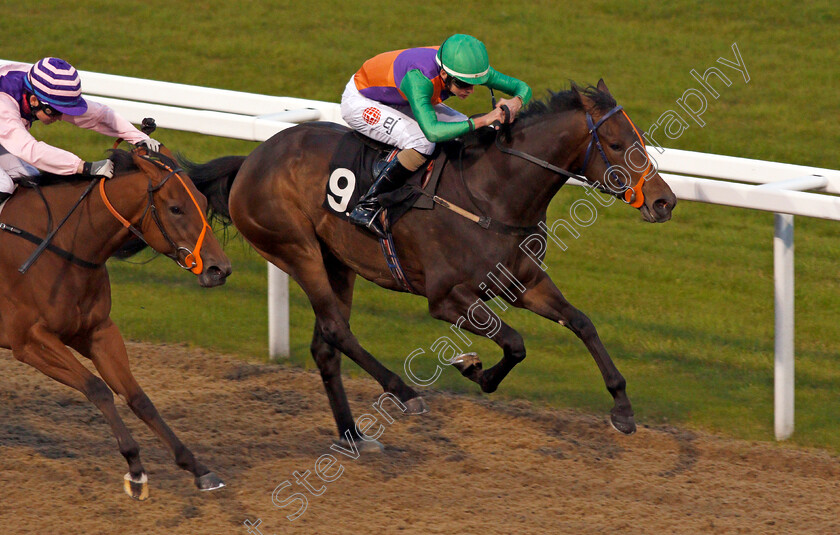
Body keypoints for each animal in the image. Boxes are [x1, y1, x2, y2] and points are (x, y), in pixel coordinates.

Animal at [0, 146, 231, 498]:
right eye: (176, 208)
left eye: (203, 202)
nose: (220, 270)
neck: (61, 245)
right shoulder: (29, 340)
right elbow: (97, 388)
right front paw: (135, 468)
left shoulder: (97, 331)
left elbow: (137, 397)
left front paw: (197, 467)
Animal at [189, 79, 676, 448]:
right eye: (616, 143)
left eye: (640, 140)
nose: (664, 201)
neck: (491, 195)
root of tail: (250, 160)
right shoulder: (445, 298)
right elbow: (515, 342)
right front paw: (473, 368)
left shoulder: (524, 282)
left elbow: (581, 323)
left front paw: (623, 409)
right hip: (297, 249)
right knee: (336, 330)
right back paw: (404, 394)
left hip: (337, 261)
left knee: (325, 345)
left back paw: (353, 436)